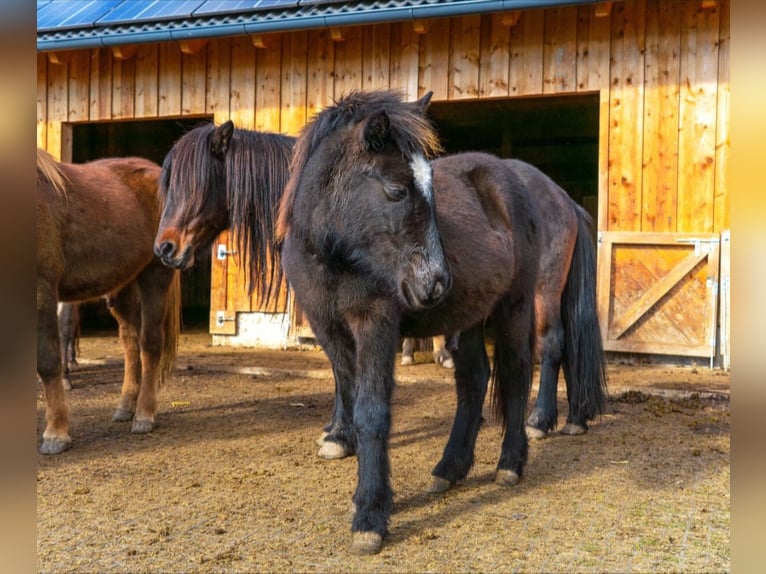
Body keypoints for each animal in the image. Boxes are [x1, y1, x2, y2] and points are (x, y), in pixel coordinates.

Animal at [37, 149, 181, 455]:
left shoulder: (42, 292)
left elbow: (48, 361)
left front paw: (56, 434)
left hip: (155, 276)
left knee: (150, 345)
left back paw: (144, 416)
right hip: (121, 289)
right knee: (130, 343)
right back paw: (126, 407)